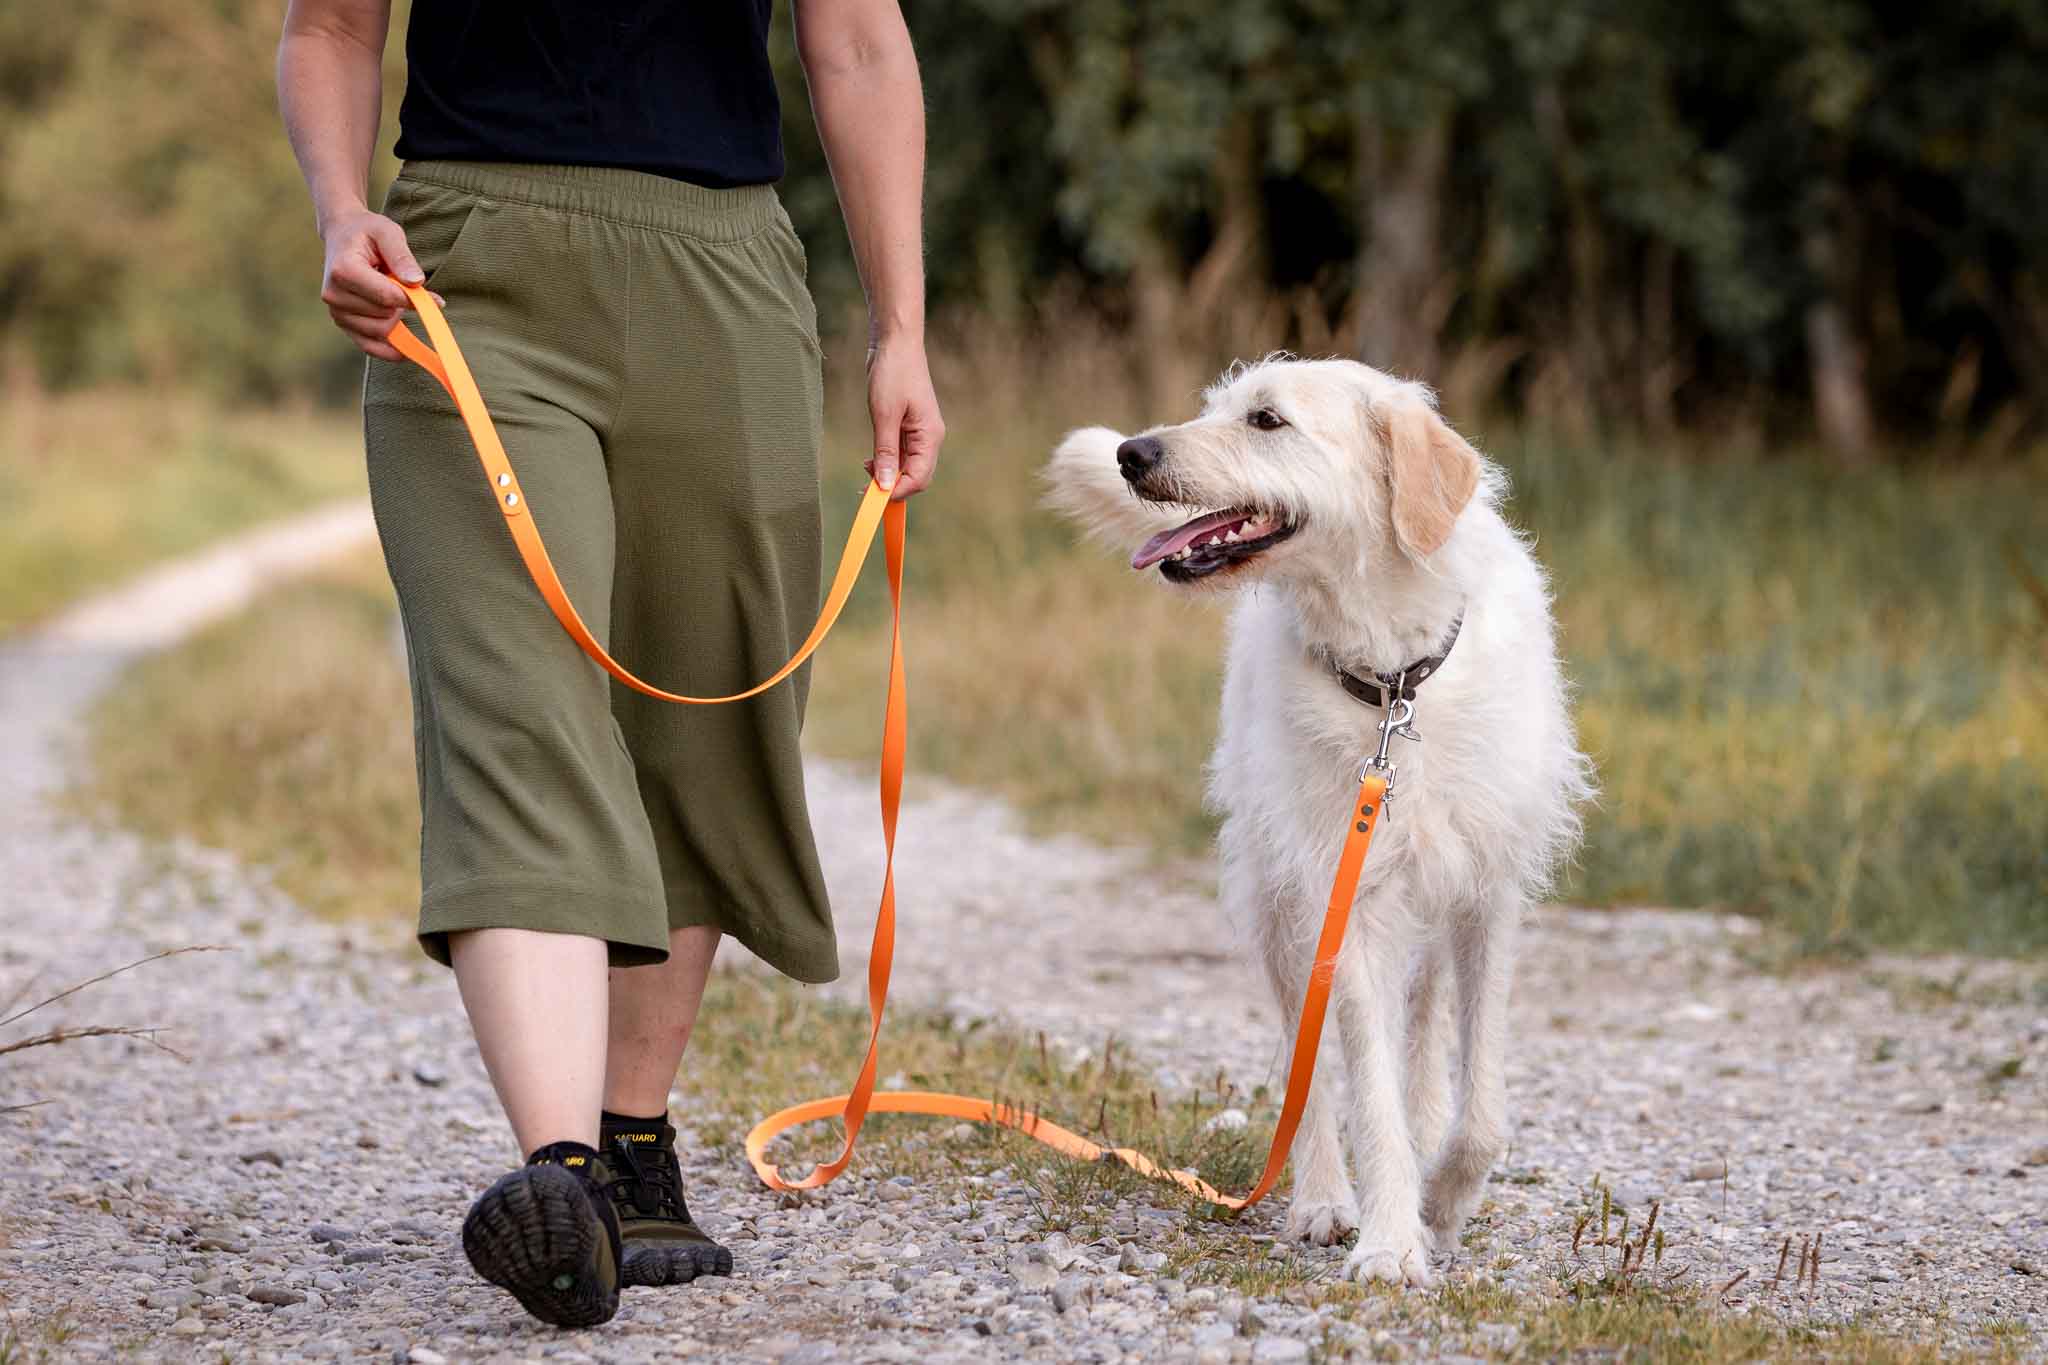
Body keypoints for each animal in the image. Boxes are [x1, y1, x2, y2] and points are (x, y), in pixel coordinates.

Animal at [1048, 358, 1589, 1285]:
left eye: (1267, 419)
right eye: (1215, 407)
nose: (1132, 453)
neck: (1393, 681)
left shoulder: (1488, 897)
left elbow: (1481, 1105)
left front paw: (1442, 1202)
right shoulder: (1350, 903)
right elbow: (1364, 1090)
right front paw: (1389, 1240)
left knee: (1426, 1021)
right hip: (1279, 897)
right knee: (1312, 1072)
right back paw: (1325, 1198)